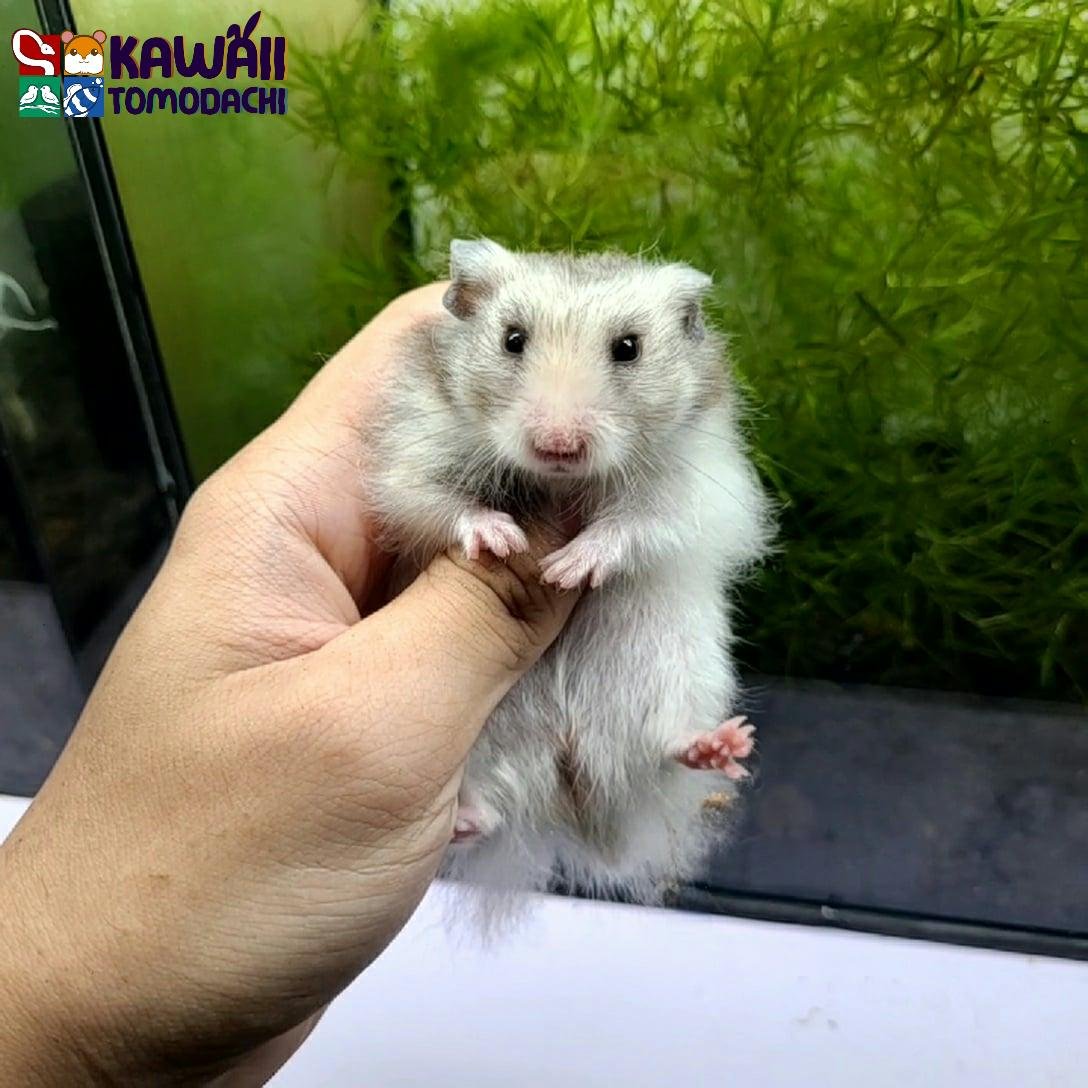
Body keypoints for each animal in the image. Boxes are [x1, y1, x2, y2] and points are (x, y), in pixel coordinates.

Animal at [364, 239, 773, 924]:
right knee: (489, 812)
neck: (560, 483)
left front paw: (564, 567)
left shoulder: (694, 485)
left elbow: (636, 527)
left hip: (679, 671)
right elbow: (434, 502)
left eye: (628, 348)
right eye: (512, 339)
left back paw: (719, 745)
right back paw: (461, 820)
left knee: (664, 747)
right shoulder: (412, 451)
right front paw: (503, 541)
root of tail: (570, 792)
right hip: (476, 746)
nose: (558, 444)